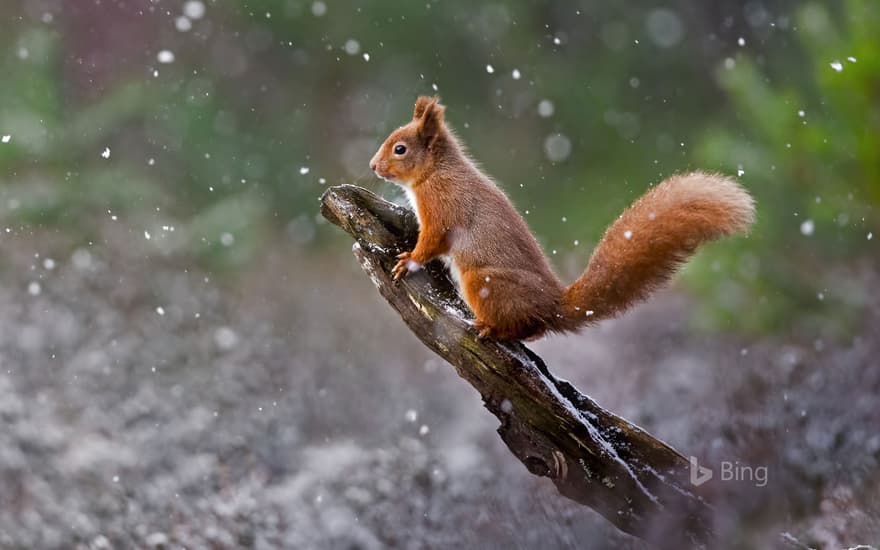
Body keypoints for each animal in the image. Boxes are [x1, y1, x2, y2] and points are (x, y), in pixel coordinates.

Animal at [368, 97, 752, 342]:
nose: (372, 166)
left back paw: (491, 329)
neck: (436, 172)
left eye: (400, 149)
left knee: (524, 328)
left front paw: (408, 261)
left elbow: (432, 241)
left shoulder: (443, 208)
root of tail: (552, 305)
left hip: (483, 281)